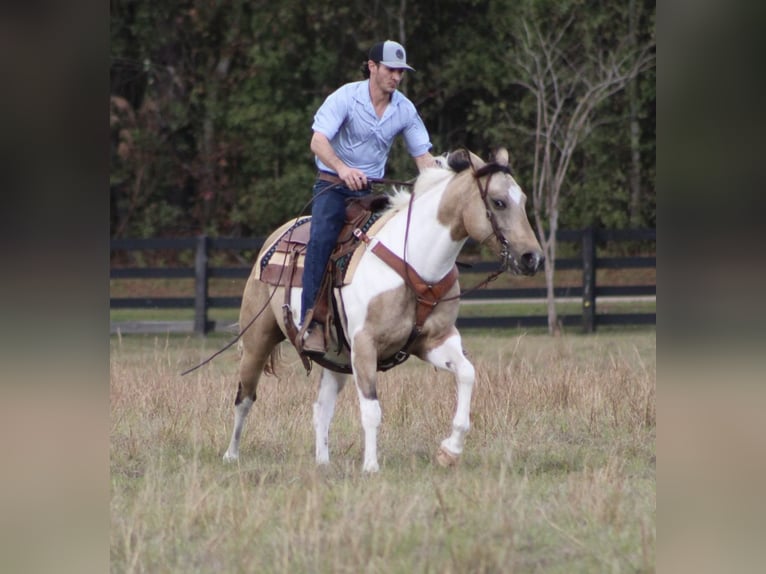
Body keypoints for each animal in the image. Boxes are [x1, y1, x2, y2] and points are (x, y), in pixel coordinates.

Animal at [222, 147, 544, 472]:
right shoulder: (365, 346)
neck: (414, 262)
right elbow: (372, 410)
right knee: (244, 398)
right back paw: (231, 455)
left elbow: (466, 373)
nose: (533, 258)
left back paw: (323, 463)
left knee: (321, 409)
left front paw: (450, 450)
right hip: (257, 340)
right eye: (499, 202)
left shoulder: (435, 341)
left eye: (523, 200)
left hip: (335, 357)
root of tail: (273, 239)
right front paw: (371, 467)